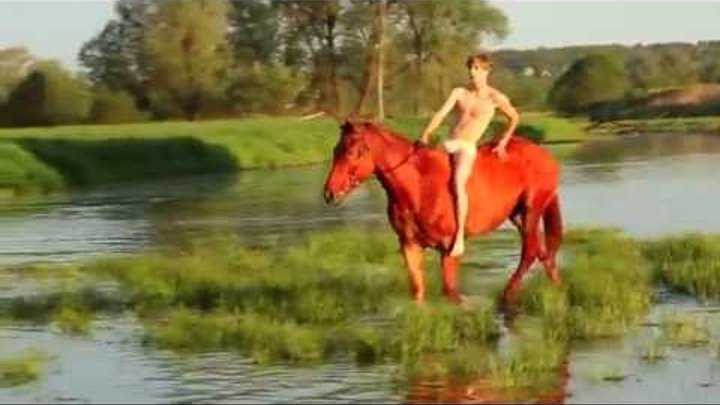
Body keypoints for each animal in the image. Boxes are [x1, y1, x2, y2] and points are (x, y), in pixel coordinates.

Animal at [323, 119, 563, 307]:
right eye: (335, 150)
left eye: (351, 152)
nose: (329, 193)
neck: (418, 186)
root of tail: (544, 154)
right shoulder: (410, 246)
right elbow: (418, 292)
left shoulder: (449, 249)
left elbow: (450, 292)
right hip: (518, 216)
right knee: (543, 252)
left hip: (531, 210)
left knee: (530, 252)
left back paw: (507, 296)